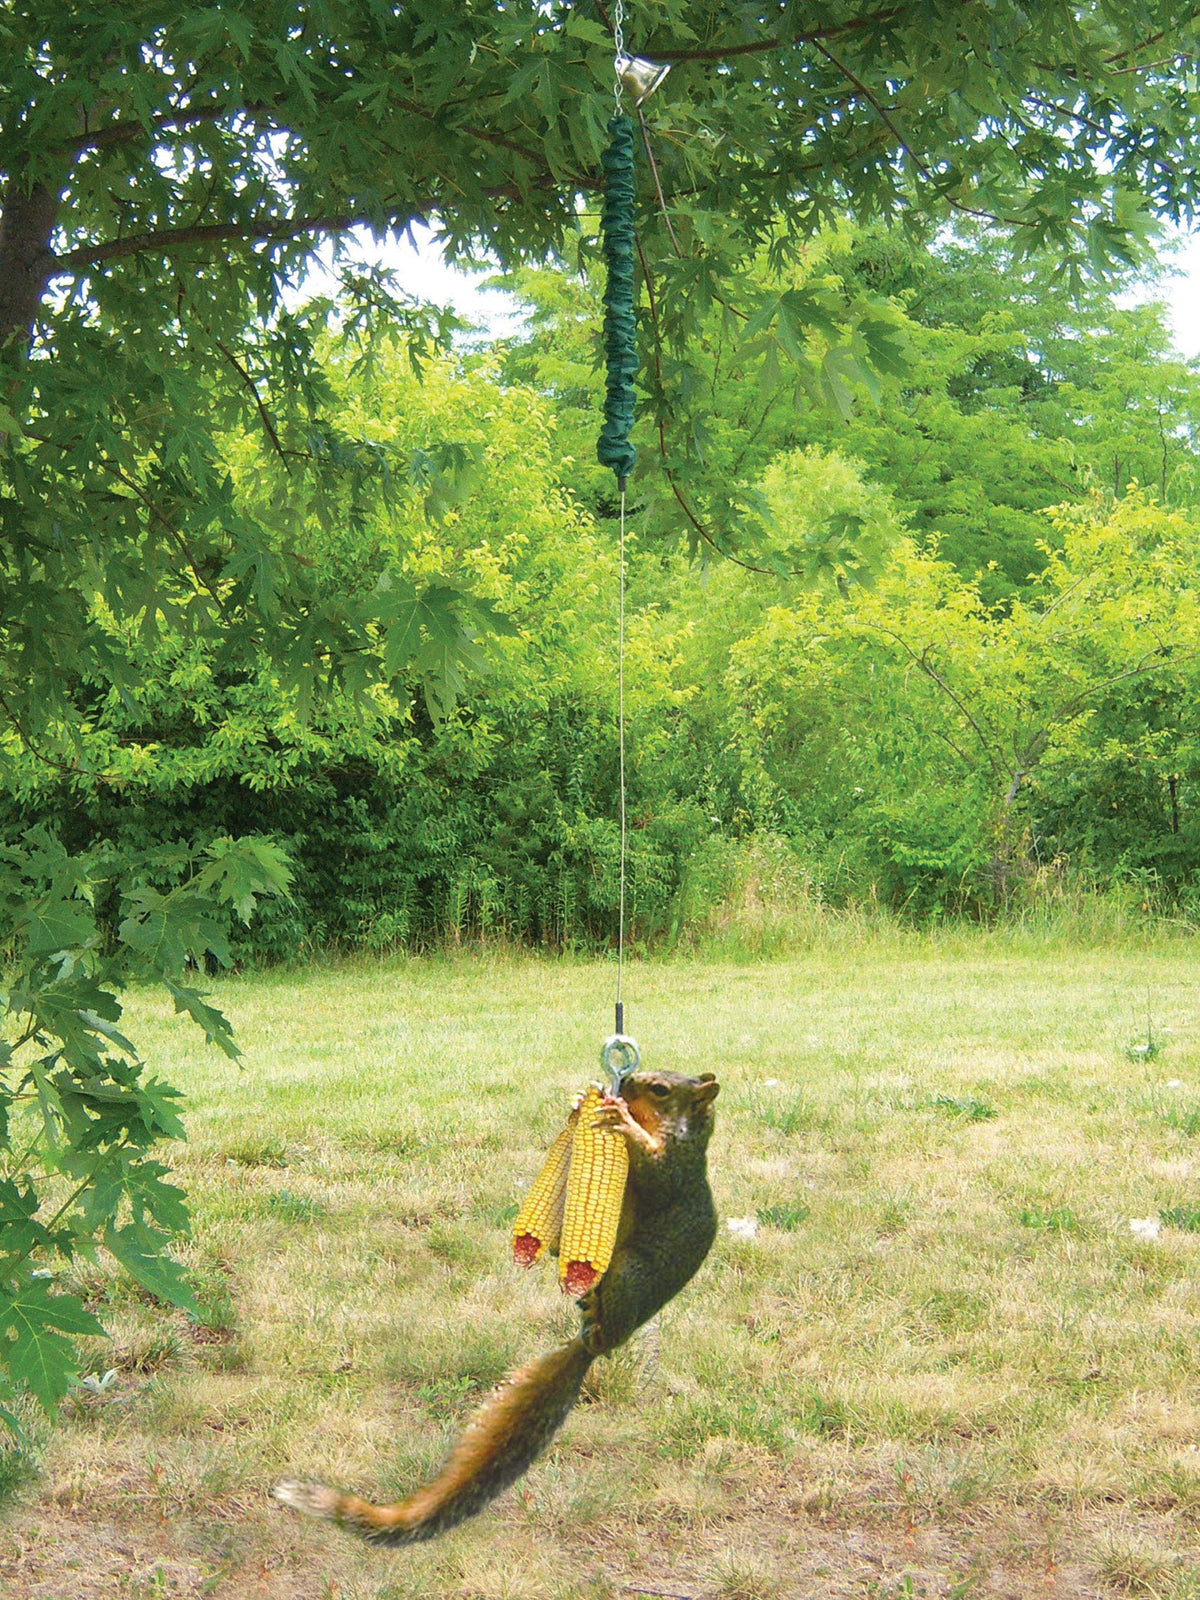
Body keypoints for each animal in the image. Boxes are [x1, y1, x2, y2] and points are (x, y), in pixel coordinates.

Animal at [271, 1067, 719, 1545]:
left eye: (661, 1090)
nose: (627, 1079)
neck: (683, 1131)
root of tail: (592, 1347)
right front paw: (581, 1104)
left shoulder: (677, 1168)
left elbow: (655, 1172)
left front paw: (621, 1120)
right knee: (563, 1254)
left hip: (630, 1273)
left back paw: (599, 1321)